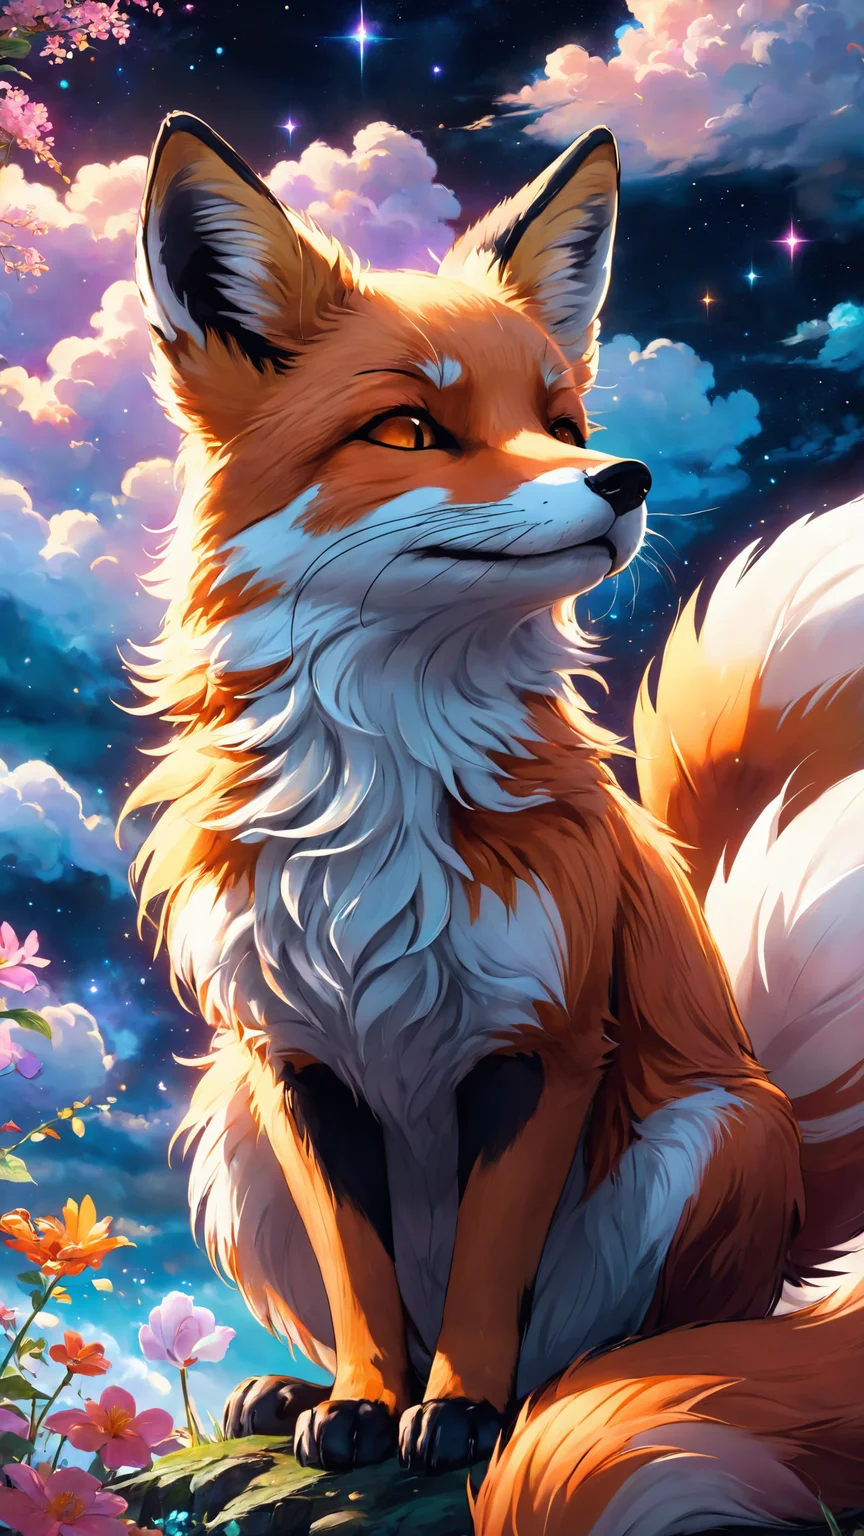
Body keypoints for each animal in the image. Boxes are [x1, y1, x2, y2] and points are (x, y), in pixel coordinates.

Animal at [126, 110, 864, 1533]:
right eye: (411, 427)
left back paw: (548, 1399)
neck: (384, 792)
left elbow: (484, 1281)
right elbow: (365, 1286)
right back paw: (294, 1396)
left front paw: (460, 1418)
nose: (624, 476)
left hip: (705, 1135)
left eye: (560, 418)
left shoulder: (545, 1045)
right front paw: (363, 1409)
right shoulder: (298, 1065)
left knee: (604, 1348)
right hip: (228, 1125)